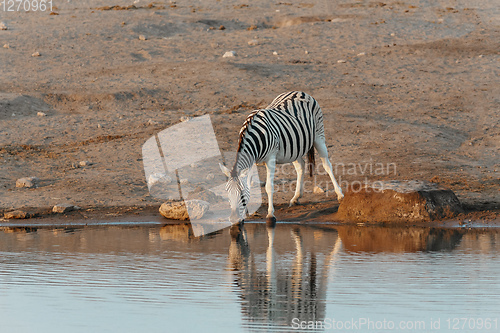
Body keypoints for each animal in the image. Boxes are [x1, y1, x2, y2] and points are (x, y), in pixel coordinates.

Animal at [222, 90, 344, 223]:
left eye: (242, 196)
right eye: (227, 193)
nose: (233, 219)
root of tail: (300, 91)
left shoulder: (271, 158)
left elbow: (269, 187)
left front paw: (270, 214)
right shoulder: (252, 161)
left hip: (318, 134)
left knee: (327, 165)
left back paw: (340, 195)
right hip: (295, 147)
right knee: (301, 166)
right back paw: (296, 197)